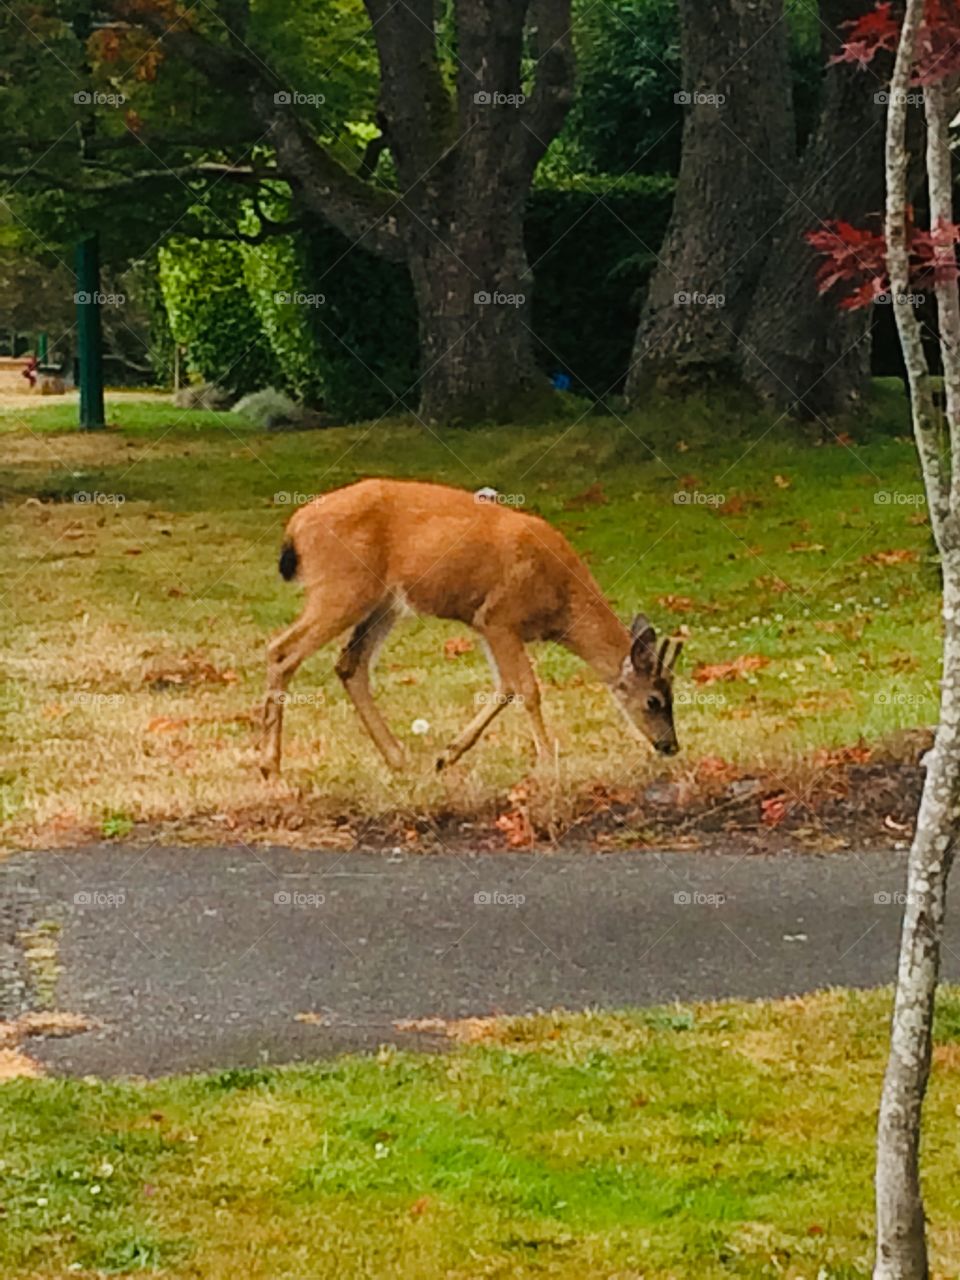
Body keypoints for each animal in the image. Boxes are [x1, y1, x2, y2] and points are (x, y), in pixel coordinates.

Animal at [260, 478, 683, 777]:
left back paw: (398, 758)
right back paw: (270, 767)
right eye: (653, 700)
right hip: (341, 588)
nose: (671, 746)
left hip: (382, 603)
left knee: (350, 664)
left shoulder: (486, 624)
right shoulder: (499, 616)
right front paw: (548, 763)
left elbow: (506, 687)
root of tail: (295, 527)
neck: (562, 601)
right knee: (281, 651)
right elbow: (527, 689)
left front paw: (447, 756)